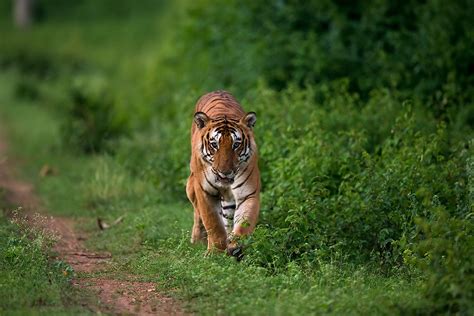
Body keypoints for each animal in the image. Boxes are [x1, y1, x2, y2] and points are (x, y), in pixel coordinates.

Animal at [185, 90, 260, 258]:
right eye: (214, 145)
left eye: (236, 145)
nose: (225, 172)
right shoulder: (204, 192)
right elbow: (213, 223)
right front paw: (215, 252)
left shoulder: (248, 193)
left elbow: (244, 223)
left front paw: (235, 247)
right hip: (191, 185)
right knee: (197, 214)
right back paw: (197, 240)